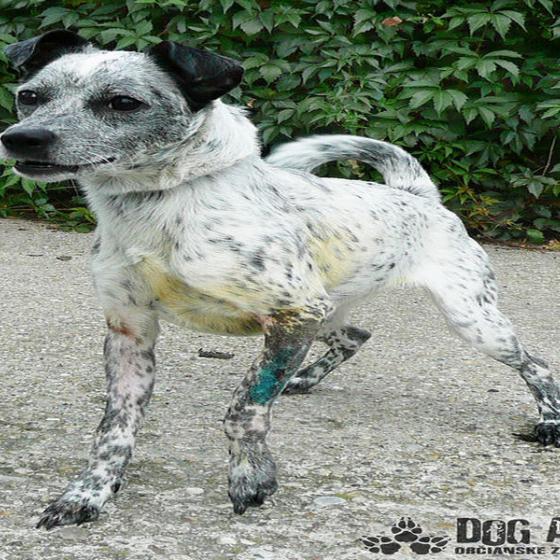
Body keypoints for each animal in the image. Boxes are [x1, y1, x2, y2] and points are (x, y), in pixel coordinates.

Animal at [2, 30, 559, 530]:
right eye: (29, 96)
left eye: (122, 102)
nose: (21, 138)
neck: (159, 204)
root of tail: (416, 195)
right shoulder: (130, 330)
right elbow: (114, 428)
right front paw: (87, 494)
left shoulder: (292, 315)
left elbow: (244, 409)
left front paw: (251, 477)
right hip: (328, 311)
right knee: (357, 336)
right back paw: (303, 377)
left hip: (471, 320)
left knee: (535, 363)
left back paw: (549, 420)